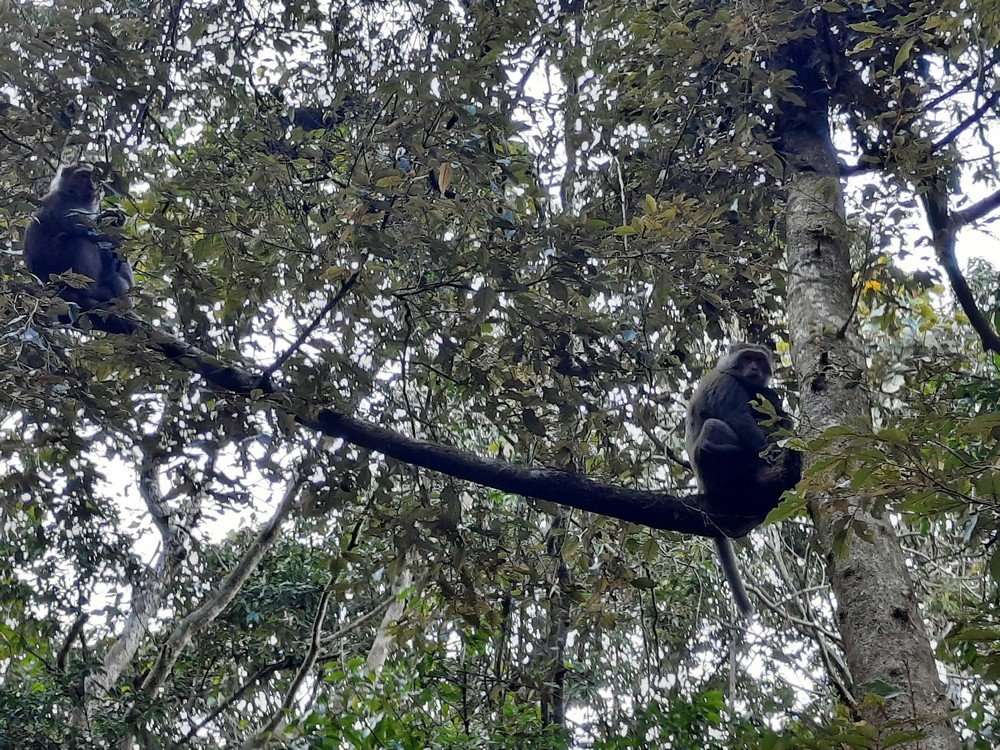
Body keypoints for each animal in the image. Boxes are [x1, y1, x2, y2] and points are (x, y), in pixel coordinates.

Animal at [24, 164, 134, 320]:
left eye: (93, 177)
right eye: (83, 176)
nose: (93, 185)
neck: (73, 195)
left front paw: (115, 219)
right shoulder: (61, 204)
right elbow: (83, 227)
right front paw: (112, 232)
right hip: (55, 268)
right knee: (80, 241)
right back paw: (92, 291)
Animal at [684, 344, 800, 620]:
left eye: (758, 359)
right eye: (747, 358)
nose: (754, 367)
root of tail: (704, 488)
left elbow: (778, 415)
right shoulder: (726, 384)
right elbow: (738, 417)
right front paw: (766, 452)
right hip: (712, 471)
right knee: (713, 427)